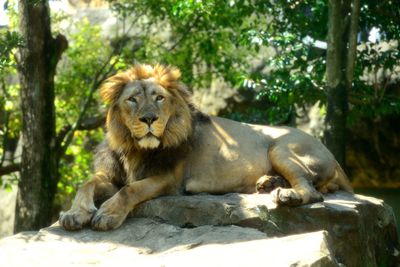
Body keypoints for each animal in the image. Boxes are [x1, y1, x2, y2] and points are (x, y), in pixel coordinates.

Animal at [59, 63, 354, 231]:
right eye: (132, 99)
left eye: (159, 98)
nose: (149, 119)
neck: (135, 148)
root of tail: (334, 157)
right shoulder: (112, 175)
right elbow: (87, 183)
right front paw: (74, 214)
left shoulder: (170, 180)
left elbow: (130, 190)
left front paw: (107, 214)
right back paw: (268, 183)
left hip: (280, 147)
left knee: (313, 192)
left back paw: (287, 194)